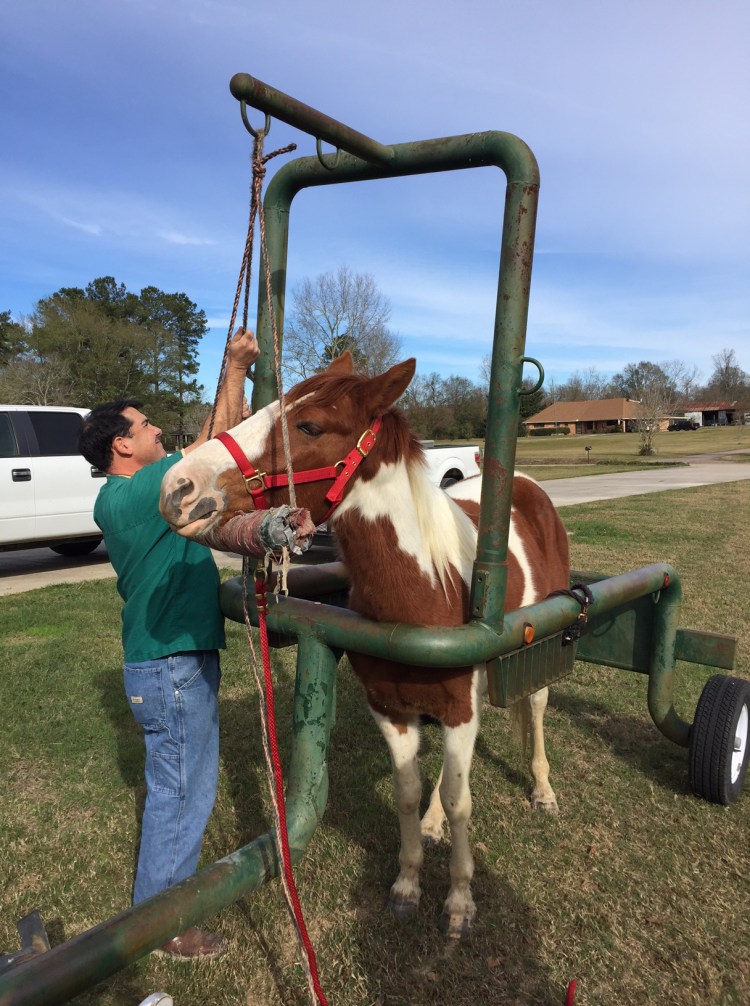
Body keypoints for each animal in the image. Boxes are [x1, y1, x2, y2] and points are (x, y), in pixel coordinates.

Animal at [159, 352, 570, 938]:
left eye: (309, 427)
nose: (178, 486)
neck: (429, 587)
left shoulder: (461, 707)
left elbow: (461, 800)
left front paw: (460, 901)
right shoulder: (391, 708)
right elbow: (409, 791)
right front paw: (407, 883)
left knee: (534, 710)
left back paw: (542, 790)